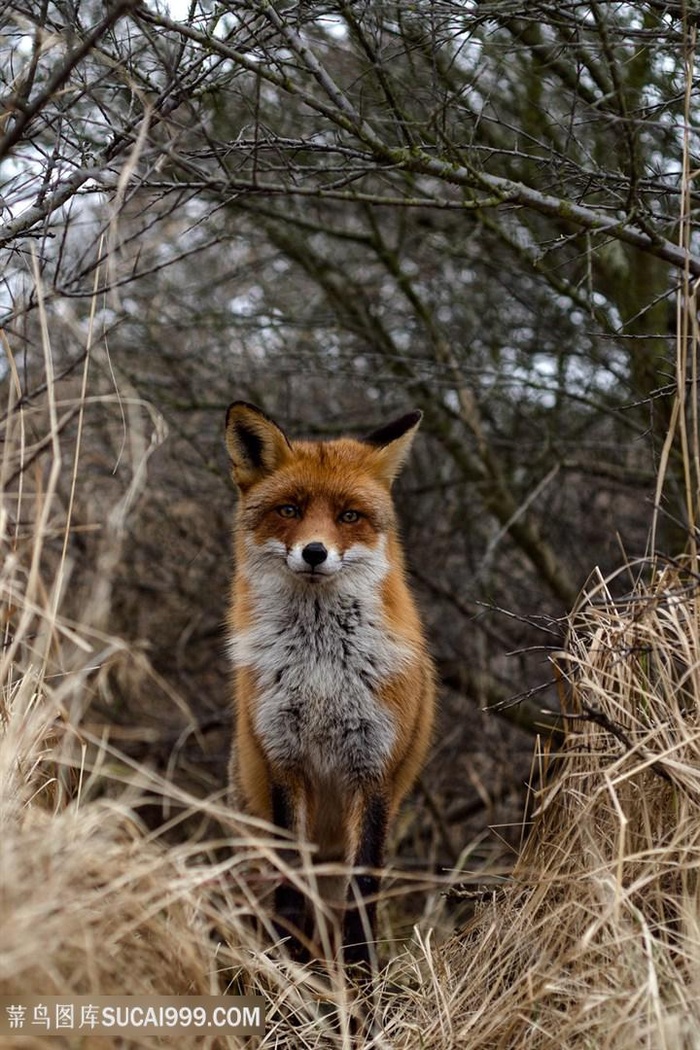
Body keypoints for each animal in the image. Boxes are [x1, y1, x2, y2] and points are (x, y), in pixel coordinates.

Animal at [224, 403, 434, 965]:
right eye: (290, 509)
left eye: (349, 516)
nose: (315, 552)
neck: (321, 670)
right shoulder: (284, 763)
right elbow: (290, 898)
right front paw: (289, 979)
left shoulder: (374, 770)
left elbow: (363, 900)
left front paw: (363, 984)